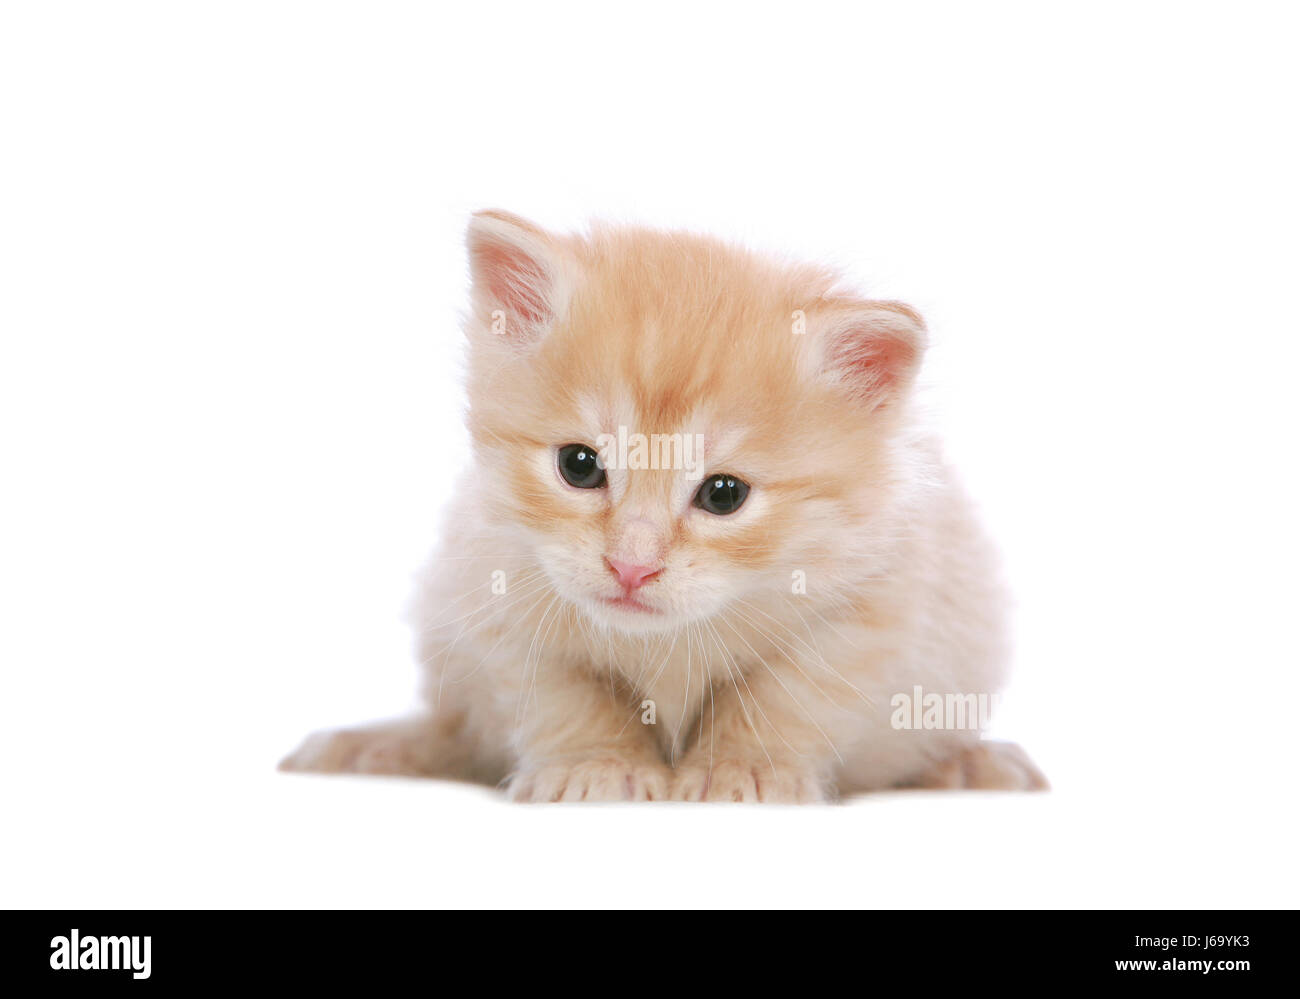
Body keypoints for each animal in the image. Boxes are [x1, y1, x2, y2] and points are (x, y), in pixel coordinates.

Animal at [282, 210, 1045, 801]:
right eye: (579, 466)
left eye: (724, 494)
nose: (631, 568)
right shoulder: (491, 583)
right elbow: (562, 695)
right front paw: (597, 766)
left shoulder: (869, 607)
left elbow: (783, 699)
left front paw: (744, 769)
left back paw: (969, 764)